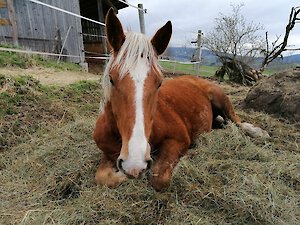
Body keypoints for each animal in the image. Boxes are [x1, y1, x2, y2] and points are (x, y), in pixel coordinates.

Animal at [92, 9, 268, 192]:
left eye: (159, 82)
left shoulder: (179, 140)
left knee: (237, 121)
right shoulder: (109, 153)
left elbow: (158, 177)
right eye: (111, 79)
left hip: (221, 100)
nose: (135, 163)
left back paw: (258, 132)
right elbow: (102, 177)